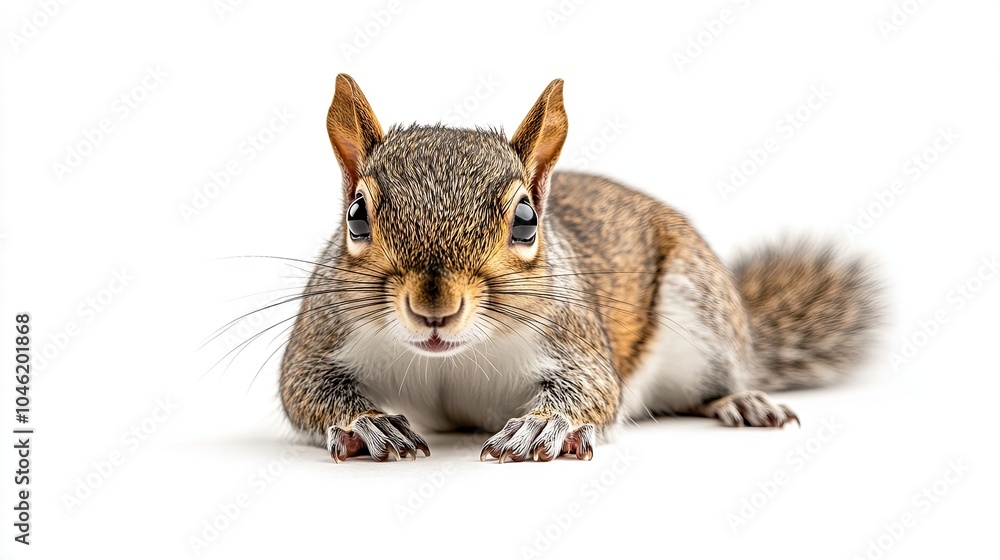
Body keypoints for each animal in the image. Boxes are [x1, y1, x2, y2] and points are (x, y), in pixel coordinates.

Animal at [278, 74, 883, 463]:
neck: (453, 357)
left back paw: (741, 401)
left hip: (702, 315)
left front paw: (543, 424)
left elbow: (594, 388)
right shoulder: (320, 335)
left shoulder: (577, 337)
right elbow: (302, 389)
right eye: (356, 216)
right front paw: (368, 421)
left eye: (526, 221)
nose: (435, 308)